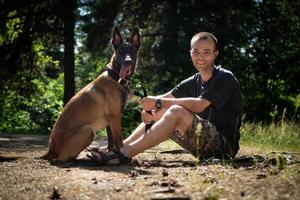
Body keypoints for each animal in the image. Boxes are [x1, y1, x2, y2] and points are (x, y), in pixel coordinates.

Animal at [41, 27, 141, 161]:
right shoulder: (115, 117)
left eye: (132, 51)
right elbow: (119, 141)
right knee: (61, 158)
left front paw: (112, 154)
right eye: (121, 51)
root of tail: (51, 149)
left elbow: (111, 142)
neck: (116, 78)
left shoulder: (110, 120)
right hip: (88, 131)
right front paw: (124, 157)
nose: (128, 61)